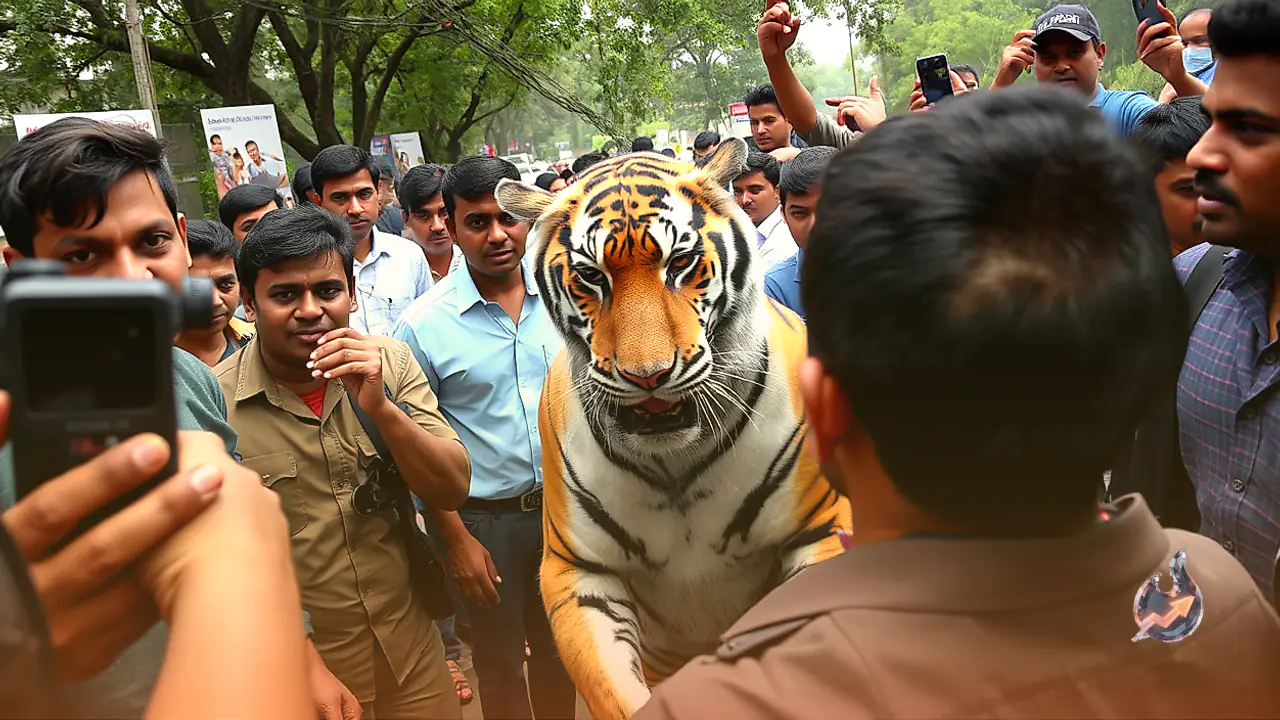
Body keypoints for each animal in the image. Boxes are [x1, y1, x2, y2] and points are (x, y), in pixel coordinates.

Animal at [494, 137, 851, 720]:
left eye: (679, 263)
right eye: (592, 276)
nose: (649, 376)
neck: (675, 460)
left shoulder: (820, 525)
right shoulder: (580, 572)